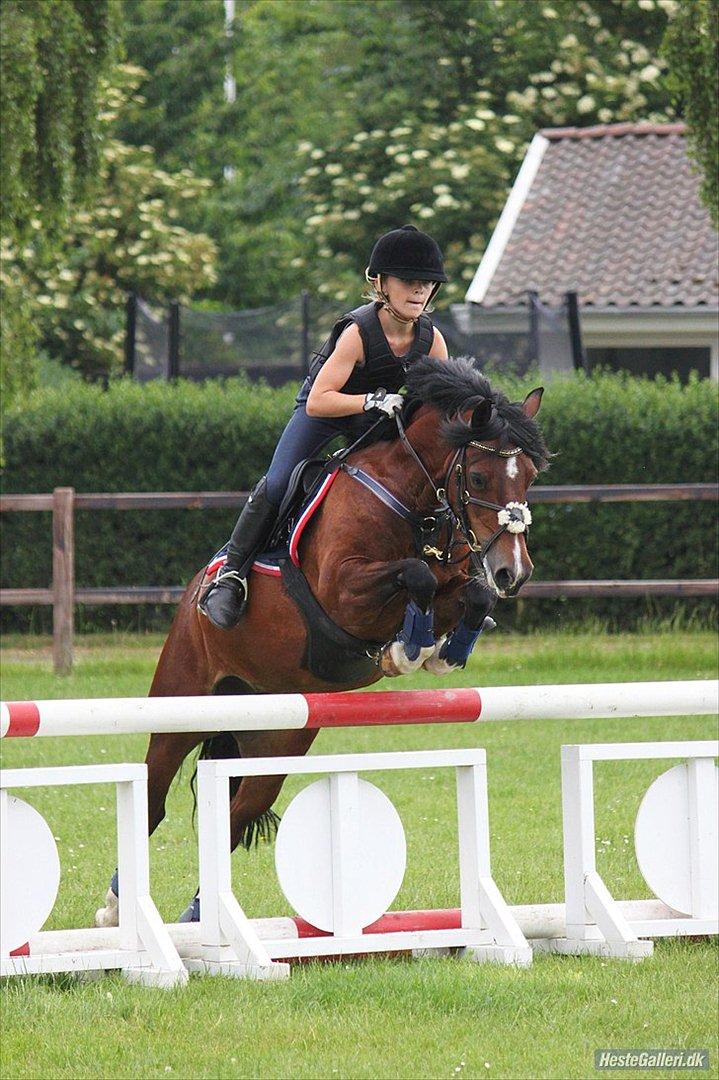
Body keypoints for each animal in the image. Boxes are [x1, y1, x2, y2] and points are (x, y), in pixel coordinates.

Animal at [93, 358, 544, 924]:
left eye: (532, 475)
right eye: (480, 476)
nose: (515, 572)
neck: (414, 501)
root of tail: (194, 592)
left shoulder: (453, 580)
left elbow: (471, 593)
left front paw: (444, 651)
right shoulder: (345, 595)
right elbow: (415, 574)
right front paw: (408, 648)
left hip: (276, 735)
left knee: (240, 811)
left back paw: (197, 917)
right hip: (182, 701)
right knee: (153, 797)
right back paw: (114, 907)